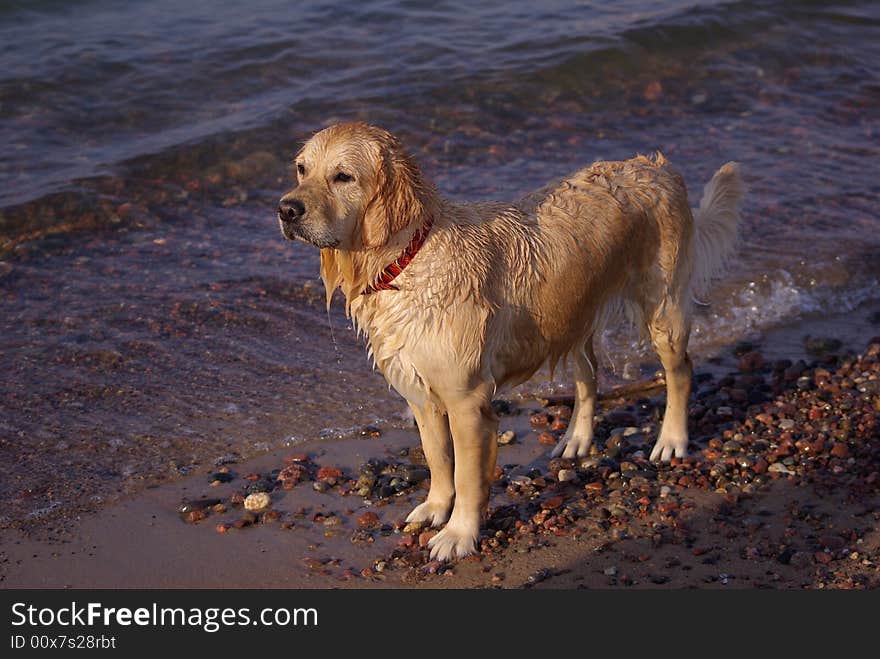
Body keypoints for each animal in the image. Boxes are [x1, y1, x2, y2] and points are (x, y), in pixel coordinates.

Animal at [276, 121, 744, 560]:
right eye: (301, 169)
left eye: (343, 177)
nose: (286, 209)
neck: (407, 259)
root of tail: (658, 167)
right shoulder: (420, 394)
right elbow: (437, 457)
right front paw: (435, 507)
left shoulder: (468, 401)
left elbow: (467, 476)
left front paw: (459, 535)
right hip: (571, 316)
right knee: (589, 377)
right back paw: (577, 438)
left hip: (662, 308)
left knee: (680, 371)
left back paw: (671, 440)